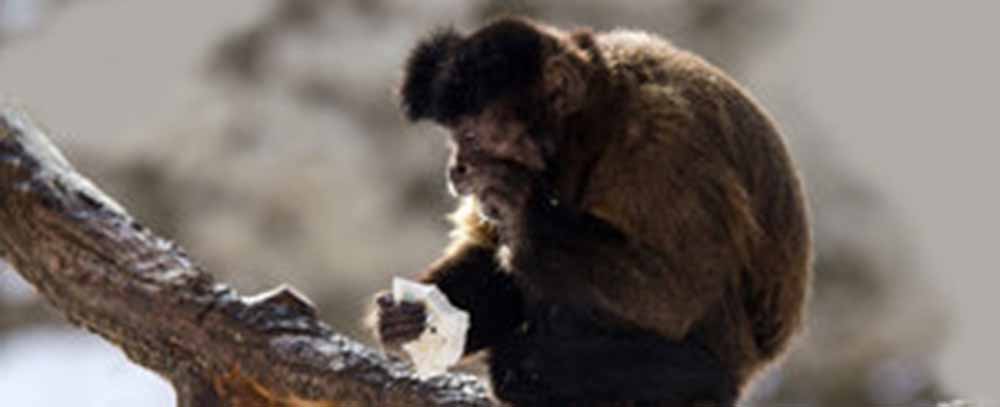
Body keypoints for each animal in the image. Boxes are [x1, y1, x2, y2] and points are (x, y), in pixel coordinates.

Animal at [369, 16, 812, 407]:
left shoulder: (662, 140)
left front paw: (522, 209)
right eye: (454, 139)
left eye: (472, 137)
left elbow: (676, 296)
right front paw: (409, 319)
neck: (597, 117)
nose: (456, 169)